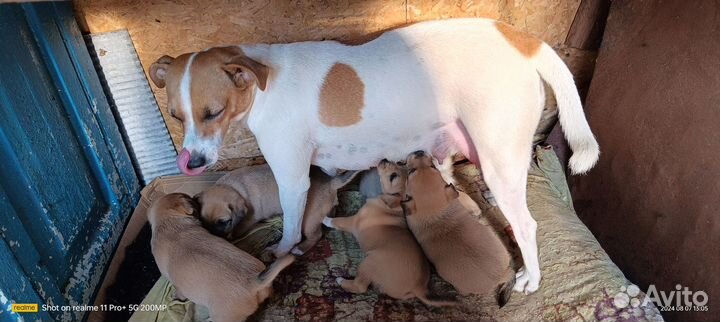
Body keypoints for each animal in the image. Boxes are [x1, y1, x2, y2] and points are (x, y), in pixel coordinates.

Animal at [195, 165, 358, 255]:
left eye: (223, 222)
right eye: (203, 220)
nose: (212, 236)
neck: (233, 188)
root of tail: (331, 181)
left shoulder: (248, 218)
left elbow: (238, 228)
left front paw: (232, 235)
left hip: (308, 219)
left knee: (316, 235)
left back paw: (300, 249)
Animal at [320, 160, 450, 306]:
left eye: (393, 176)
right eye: (400, 163)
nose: (384, 160)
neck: (388, 203)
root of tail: (419, 288)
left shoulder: (353, 221)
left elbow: (337, 221)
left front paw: (324, 219)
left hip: (369, 262)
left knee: (360, 286)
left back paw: (340, 280)